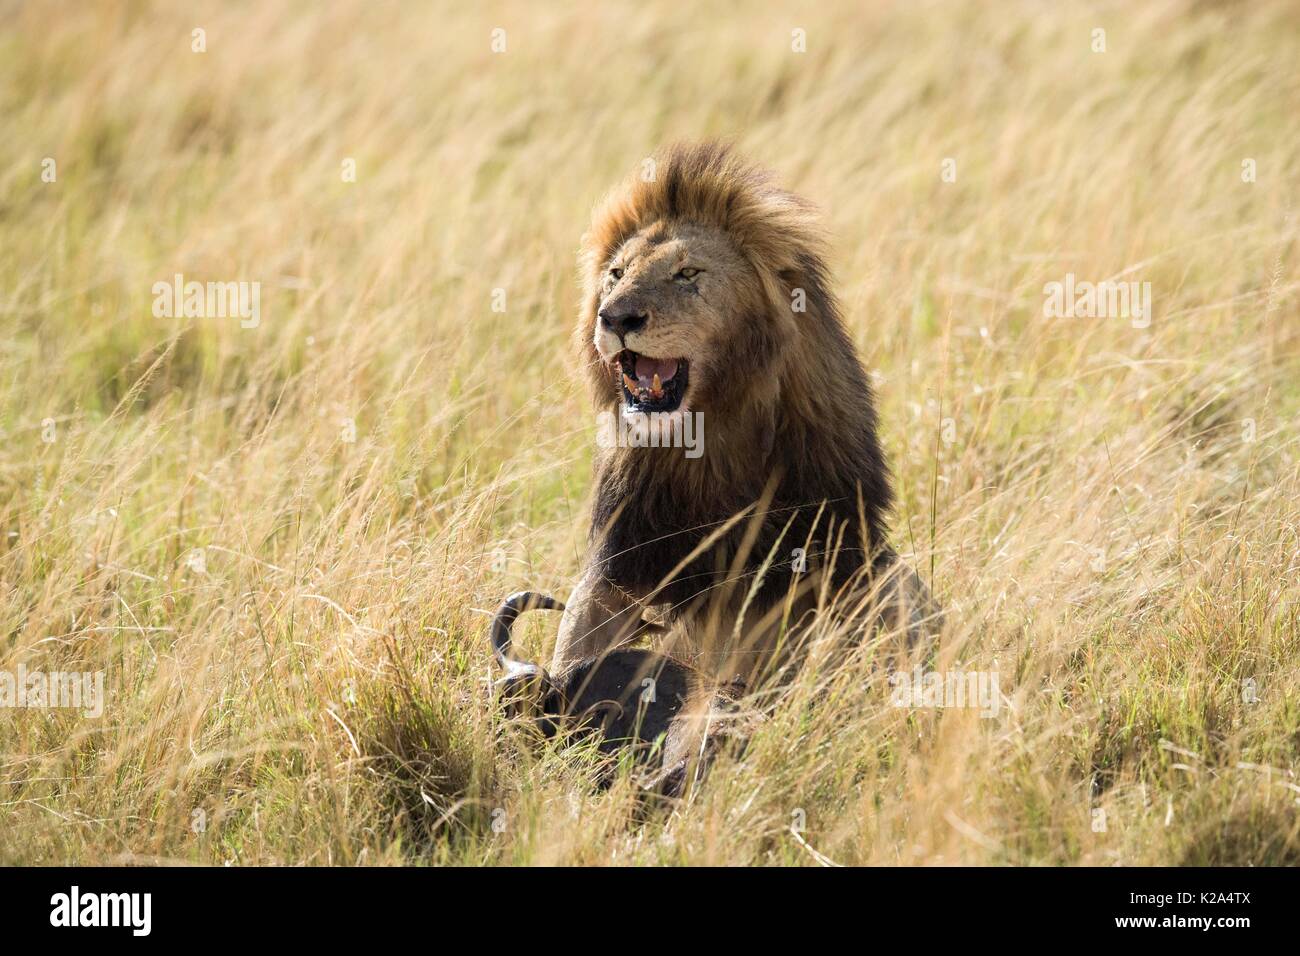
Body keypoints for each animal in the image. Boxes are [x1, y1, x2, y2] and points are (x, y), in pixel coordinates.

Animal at [493, 141, 935, 770]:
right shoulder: (614, 575)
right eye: (616, 274)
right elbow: (577, 646)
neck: (702, 451)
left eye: (687, 274)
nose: (616, 318)